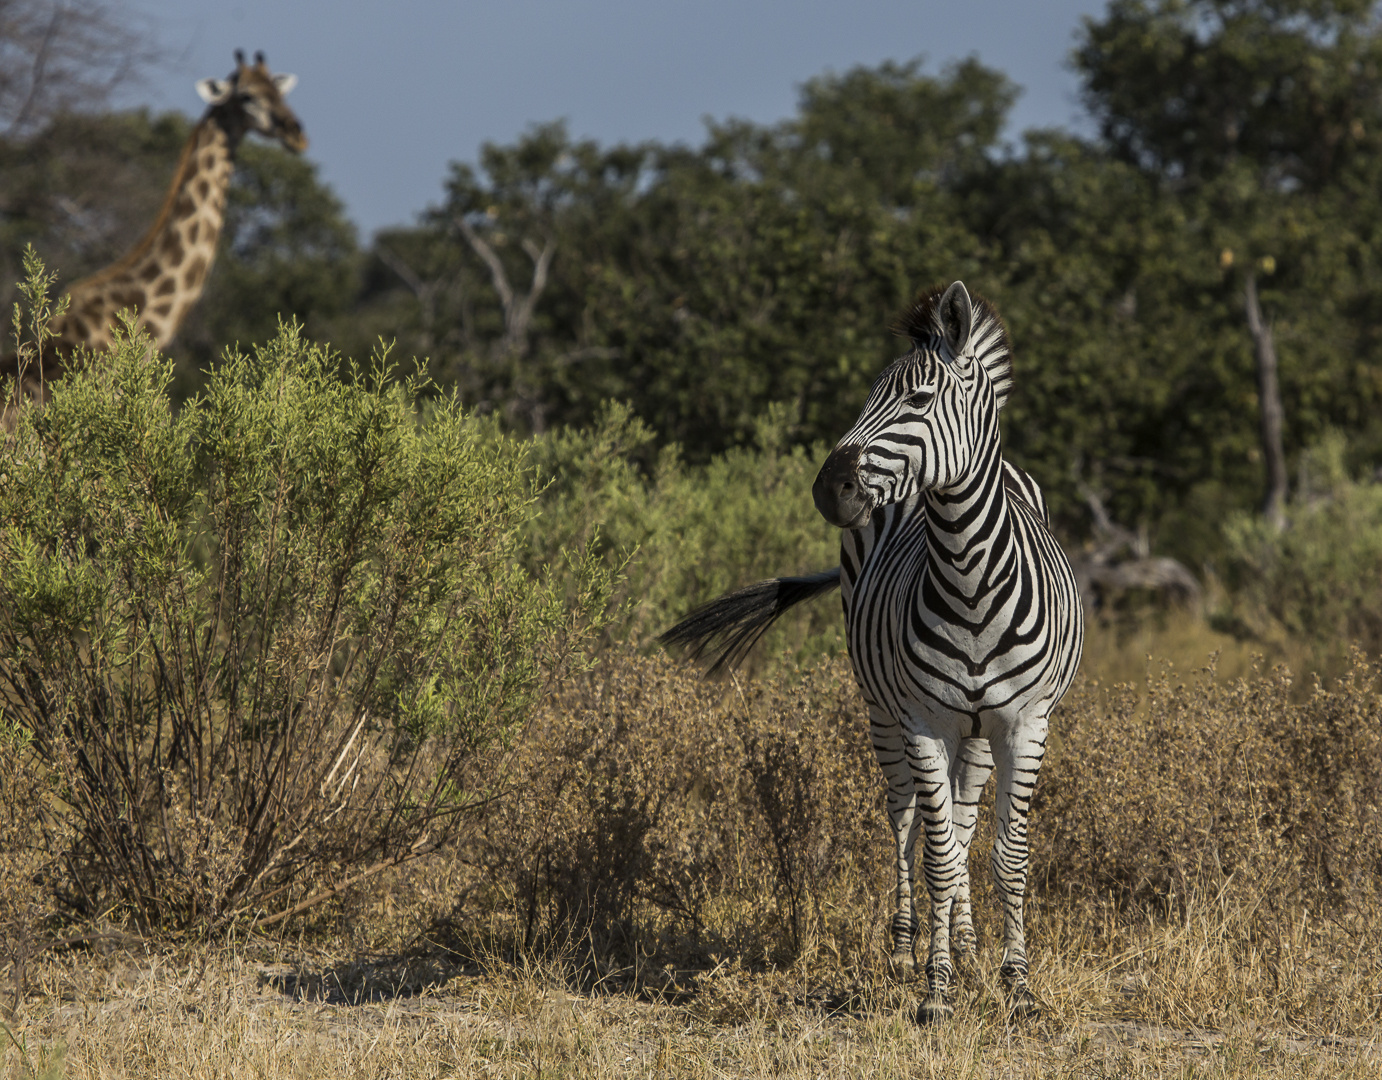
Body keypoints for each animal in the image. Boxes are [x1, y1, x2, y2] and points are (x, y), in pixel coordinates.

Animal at [663, 277, 1083, 1017]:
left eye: (917, 401)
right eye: (865, 397)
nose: (828, 490)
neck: (971, 581)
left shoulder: (1027, 723)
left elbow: (1008, 857)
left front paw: (1018, 987)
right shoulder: (921, 720)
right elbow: (937, 855)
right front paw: (935, 990)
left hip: (978, 730)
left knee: (965, 819)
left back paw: (969, 947)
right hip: (882, 711)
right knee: (906, 817)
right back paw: (908, 950)